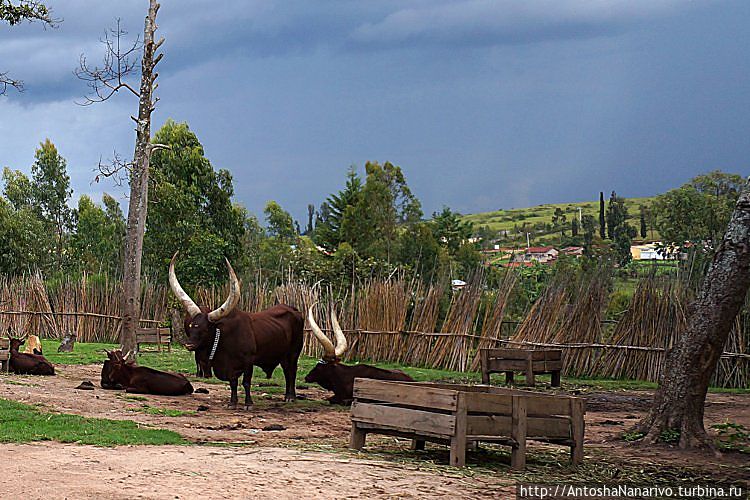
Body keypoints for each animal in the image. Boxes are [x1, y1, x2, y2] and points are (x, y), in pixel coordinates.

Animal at [170, 252, 306, 408]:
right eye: (191, 326)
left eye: (206, 329)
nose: (189, 344)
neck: (224, 339)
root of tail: (295, 310)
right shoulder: (230, 367)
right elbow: (233, 383)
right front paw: (232, 402)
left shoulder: (248, 361)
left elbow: (246, 382)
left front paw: (248, 403)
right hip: (283, 355)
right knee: (286, 371)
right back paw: (286, 396)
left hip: (294, 352)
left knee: (292, 372)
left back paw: (291, 397)